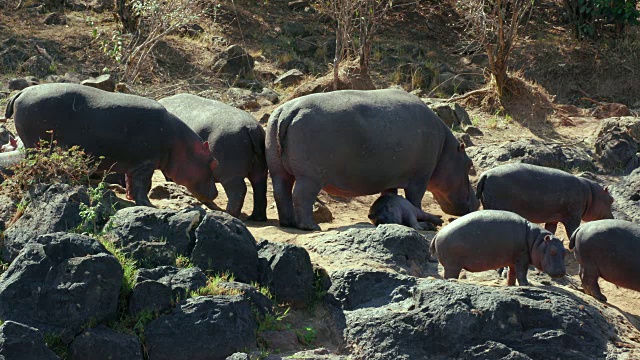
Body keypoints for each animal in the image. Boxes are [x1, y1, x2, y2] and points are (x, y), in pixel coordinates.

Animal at [2, 83, 219, 205]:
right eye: (213, 162)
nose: (217, 193)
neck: (179, 144)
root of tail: (21, 92)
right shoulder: (146, 164)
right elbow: (143, 185)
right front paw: (148, 205)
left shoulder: (135, 165)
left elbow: (131, 183)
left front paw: (131, 199)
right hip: (35, 144)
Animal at [266, 88, 480, 232]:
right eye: (470, 164)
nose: (477, 203)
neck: (446, 149)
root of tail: (287, 112)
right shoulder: (420, 178)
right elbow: (415, 201)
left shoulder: (392, 180)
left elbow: (390, 194)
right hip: (310, 177)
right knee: (300, 196)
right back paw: (311, 227)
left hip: (278, 169)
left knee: (281, 192)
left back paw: (288, 222)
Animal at [432, 210, 568, 286]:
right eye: (552, 251)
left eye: (565, 251)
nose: (562, 272)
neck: (536, 241)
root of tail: (438, 234)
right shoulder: (522, 257)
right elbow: (522, 272)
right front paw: (526, 285)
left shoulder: (513, 260)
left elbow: (512, 273)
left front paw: (510, 285)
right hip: (452, 266)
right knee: (449, 276)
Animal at [478, 163, 612, 239]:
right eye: (611, 200)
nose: (612, 217)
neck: (591, 194)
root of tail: (485, 175)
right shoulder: (573, 216)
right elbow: (572, 231)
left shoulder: (553, 219)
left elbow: (550, 229)